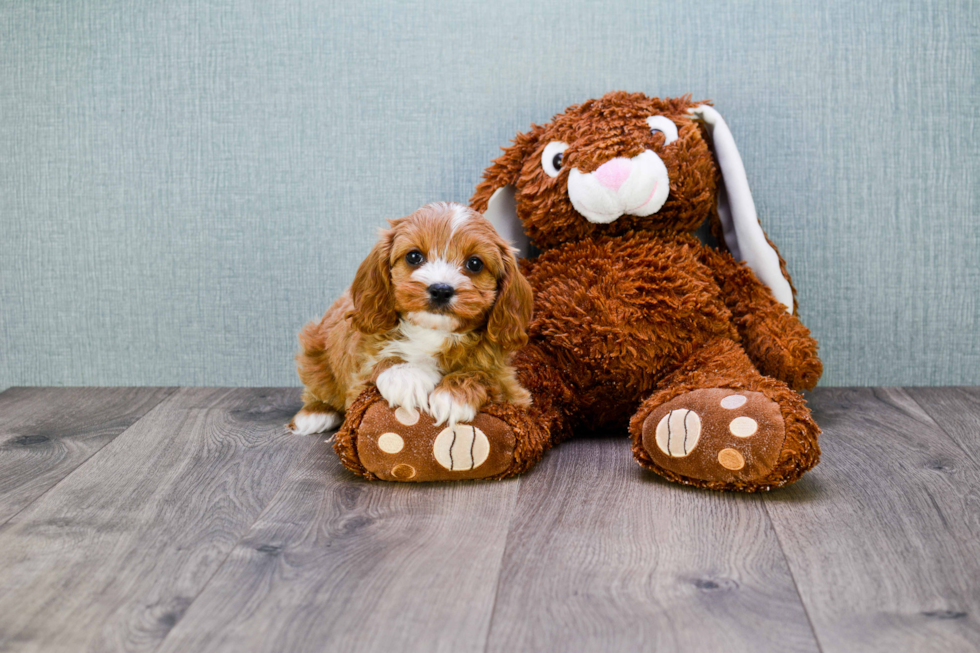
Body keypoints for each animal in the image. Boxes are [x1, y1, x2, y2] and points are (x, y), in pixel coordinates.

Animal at [288, 202, 532, 438]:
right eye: (414, 256)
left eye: (475, 264)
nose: (441, 290)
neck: (433, 331)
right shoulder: (359, 372)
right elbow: (376, 362)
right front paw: (406, 377)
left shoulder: (512, 387)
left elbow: (487, 376)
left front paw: (453, 396)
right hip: (315, 351)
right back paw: (315, 413)